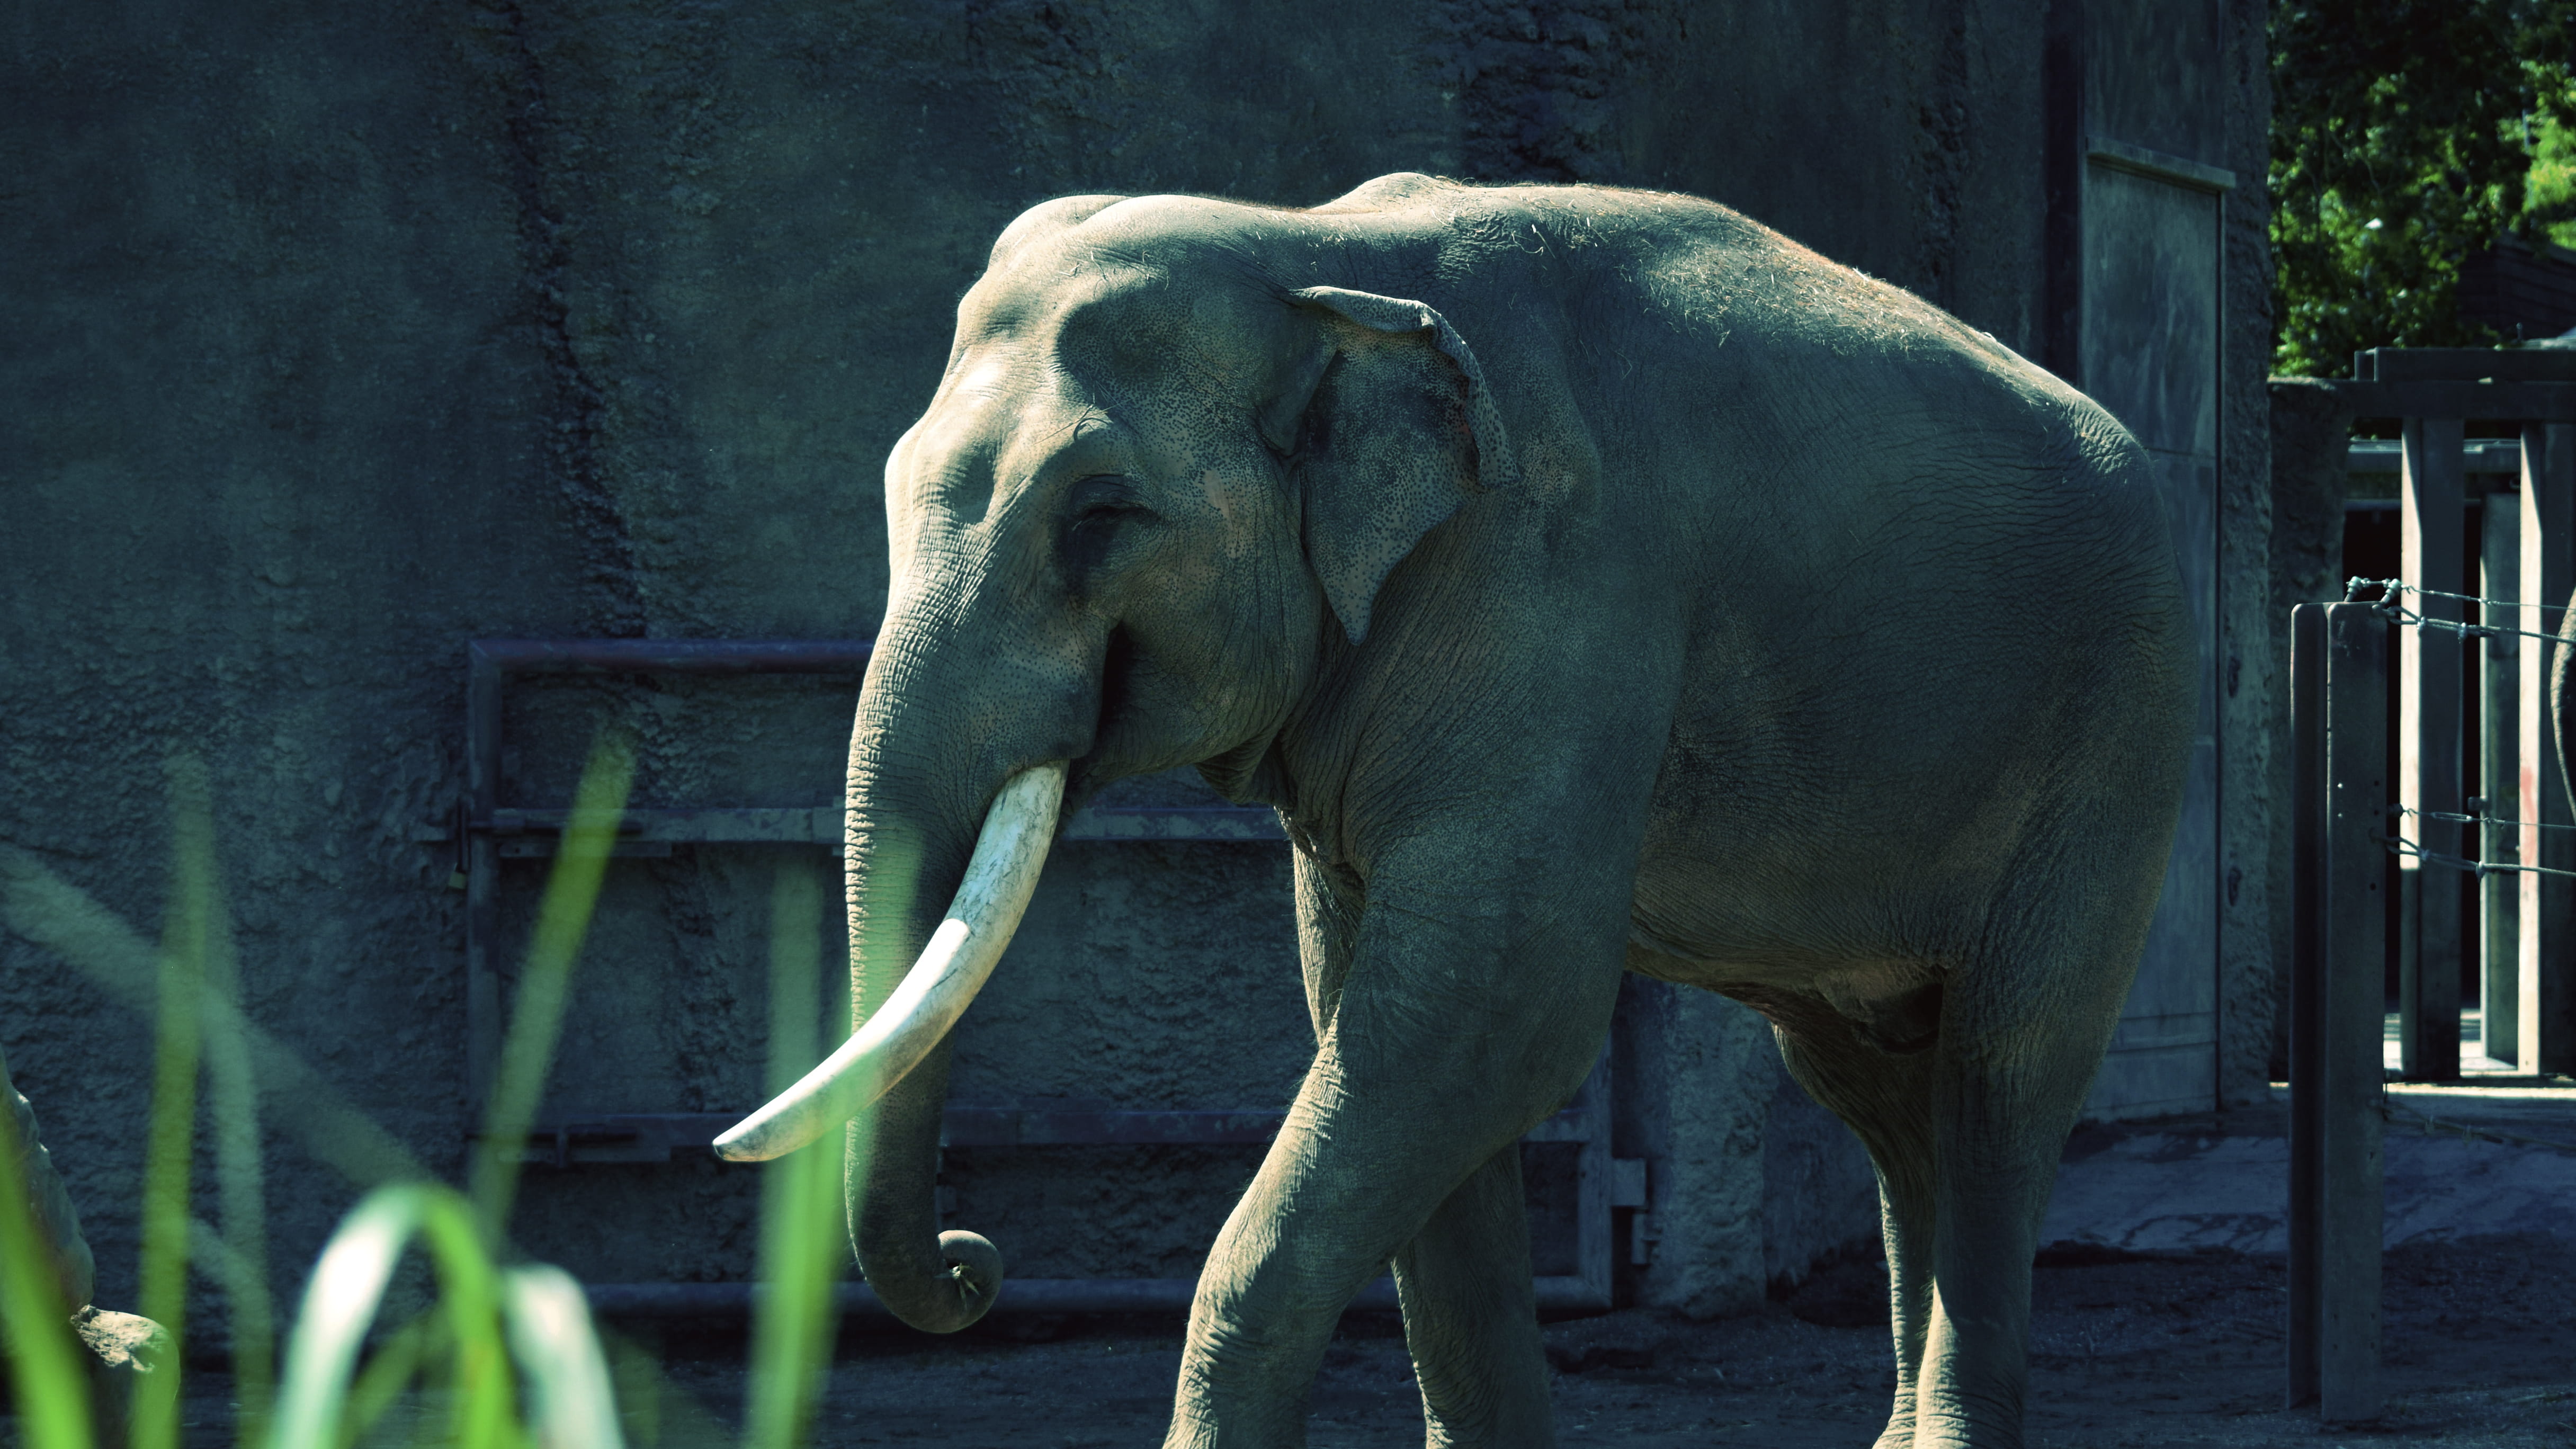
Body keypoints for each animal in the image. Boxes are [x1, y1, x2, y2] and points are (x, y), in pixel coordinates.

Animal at [718, 172, 2193, 1448]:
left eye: (1099, 514)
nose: (974, 1264)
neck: (1314, 254)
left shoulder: (1554, 591)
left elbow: (1489, 1006)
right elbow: (1387, 1018)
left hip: (2114, 728)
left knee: (2001, 1073)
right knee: (1878, 1093)